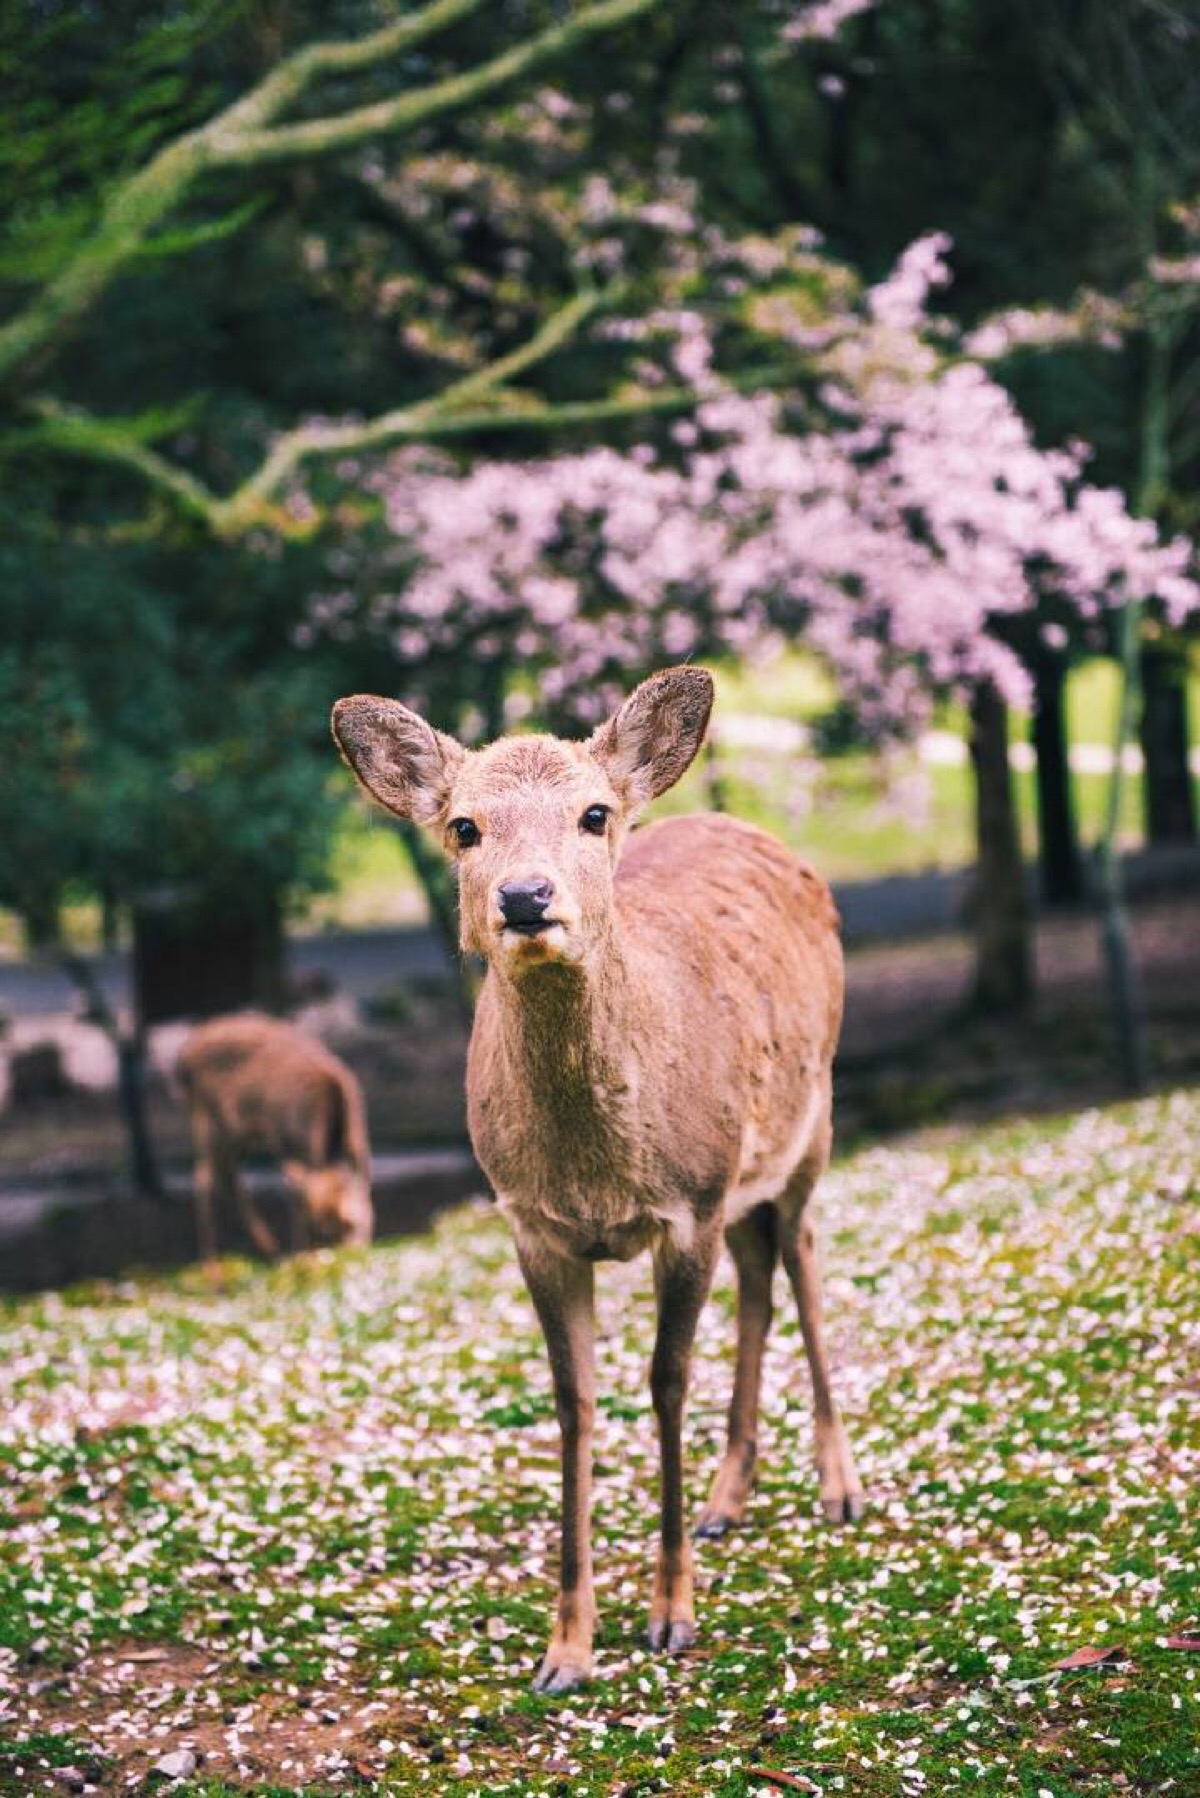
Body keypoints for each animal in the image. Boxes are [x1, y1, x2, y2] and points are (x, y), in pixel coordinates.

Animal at [176, 1014, 372, 1265]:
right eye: (321, 1230)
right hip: (209, 1121)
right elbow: (295, 1200)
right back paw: (213, 1267)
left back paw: (270, 1250)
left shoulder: (358, 1143)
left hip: (235, 1135)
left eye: (351, 1226)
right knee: (205, 1178)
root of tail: (183, 1061)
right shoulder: (287, 1143)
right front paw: (301, 1253)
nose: (347, 1255)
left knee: (226, 1178)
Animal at [325, 668, 863, 1690]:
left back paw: (839, 1487)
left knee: (806, 1258)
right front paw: (566, 1647)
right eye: (463, 825)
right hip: (742, 1175)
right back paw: (728, 1499)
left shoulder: (687, 1204)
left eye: (594, 813)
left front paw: (672, 1616)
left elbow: (665, 1382)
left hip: (810, 1118)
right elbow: (573, 1404)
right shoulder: (531, 1224)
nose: (526, 897)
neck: (596, 1172)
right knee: (761, 1273)